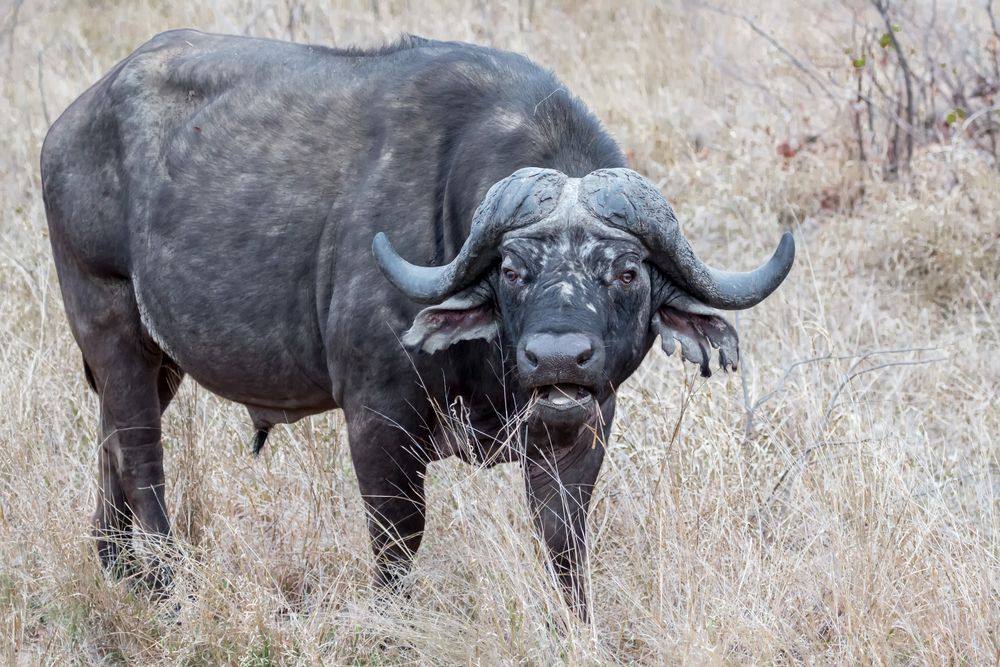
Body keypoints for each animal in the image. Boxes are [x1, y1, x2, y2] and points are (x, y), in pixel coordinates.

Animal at [41, 30, 796, 616]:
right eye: (513, 268)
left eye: (627, 270)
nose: (558, 356)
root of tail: (70, 126)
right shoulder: (377, 420)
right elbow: (397, 543)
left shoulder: (583, 425)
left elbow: (565, 544)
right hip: (112, 327)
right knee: (142, 460)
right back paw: (165, 585)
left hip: (156, 362)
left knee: (112, 448)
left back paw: (117, 567)